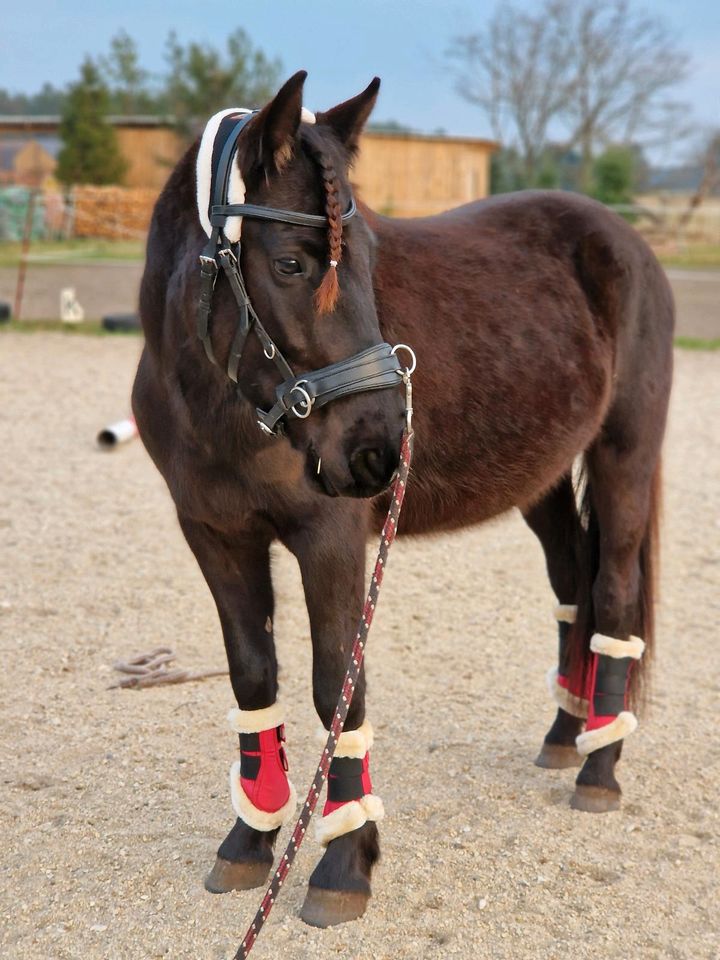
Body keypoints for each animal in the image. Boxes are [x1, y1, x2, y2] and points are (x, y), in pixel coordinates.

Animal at [132, 73, 672, 928]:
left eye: (367, 262)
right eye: (291, 262)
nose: (380, 449)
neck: (218, 400)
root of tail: (621, 240)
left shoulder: (329, 540)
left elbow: (336, 684)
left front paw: (343, 862)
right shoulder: (214, 534)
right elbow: (253, 676)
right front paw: (251, 839)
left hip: (626, 453)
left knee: (613, 590)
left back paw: (599, 768)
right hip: (544, 478)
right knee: (573, 586)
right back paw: (567, 734)